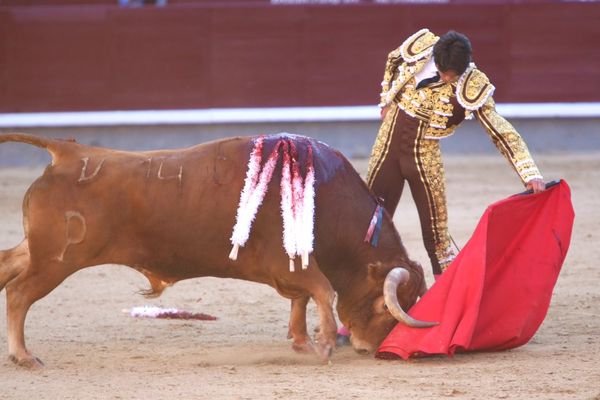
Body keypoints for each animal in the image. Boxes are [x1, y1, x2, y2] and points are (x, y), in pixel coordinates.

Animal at [0, 134, 432, 368]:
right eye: (384, 307)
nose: (371, 349)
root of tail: (68, 151)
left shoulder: (297, 263)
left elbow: (303, 299)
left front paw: (301, 342)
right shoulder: (294, 264)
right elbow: (322, 291)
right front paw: (323, 346)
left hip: (40, 252)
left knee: (7, 266)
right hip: (57, 260)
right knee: (19, 294)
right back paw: (24, 356)